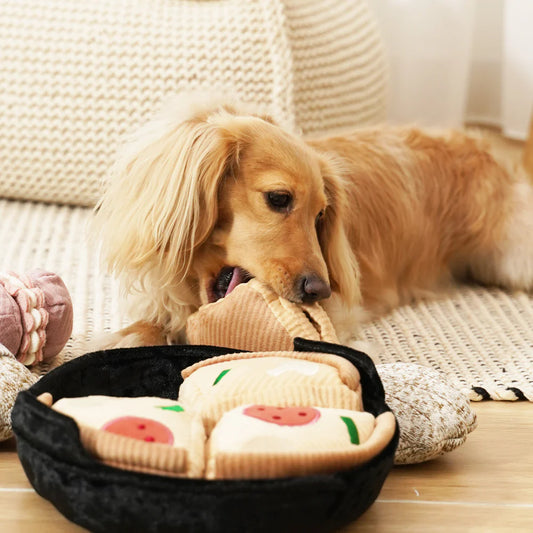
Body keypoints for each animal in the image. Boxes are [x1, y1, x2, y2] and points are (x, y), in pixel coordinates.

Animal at [93, 93, 532, 348]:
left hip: (511, 256)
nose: (319, 290)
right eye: (278, 198)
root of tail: (481, 144)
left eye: (321, 214)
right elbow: (142, 329)